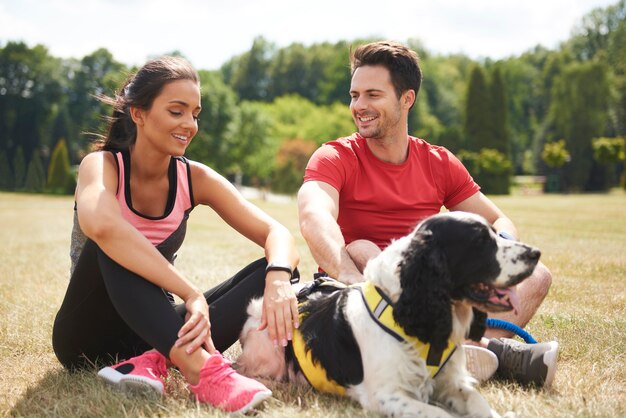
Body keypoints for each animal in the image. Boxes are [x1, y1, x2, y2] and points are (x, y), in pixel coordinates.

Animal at [236, 212, 540, 418]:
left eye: (495, 234)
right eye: (479, 240)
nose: (535, 253)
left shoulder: (451, 382)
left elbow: (478, 402)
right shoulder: (385, 395)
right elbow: (439, 413)